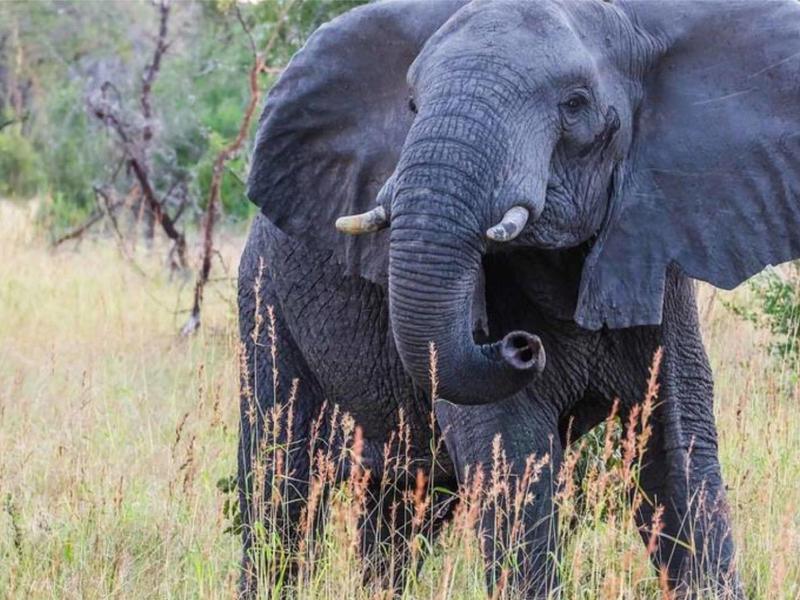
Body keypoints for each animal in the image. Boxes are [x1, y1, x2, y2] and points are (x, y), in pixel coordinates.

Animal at [237, 0, 800, 597]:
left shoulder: (655, 248)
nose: (519, 346)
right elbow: (512, 451)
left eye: (575, 105)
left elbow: (675, 448)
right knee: (279, 479)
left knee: (402, 507)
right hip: (263, 298)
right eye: (412, 106)